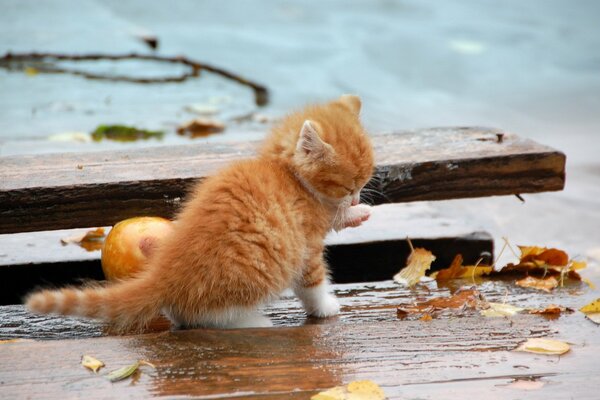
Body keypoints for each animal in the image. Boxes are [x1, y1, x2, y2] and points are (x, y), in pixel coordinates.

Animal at [27, 94, 376, 332]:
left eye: (364, 182)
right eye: (348, 185)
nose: (357, 196)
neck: (287, 175)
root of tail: (164, 276)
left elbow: (335, 218)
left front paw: (358, 213)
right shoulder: (305, 242)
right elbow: (312, 281)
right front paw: (325, 307)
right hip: (250, 273)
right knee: (202, 315)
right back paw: (252, 321)